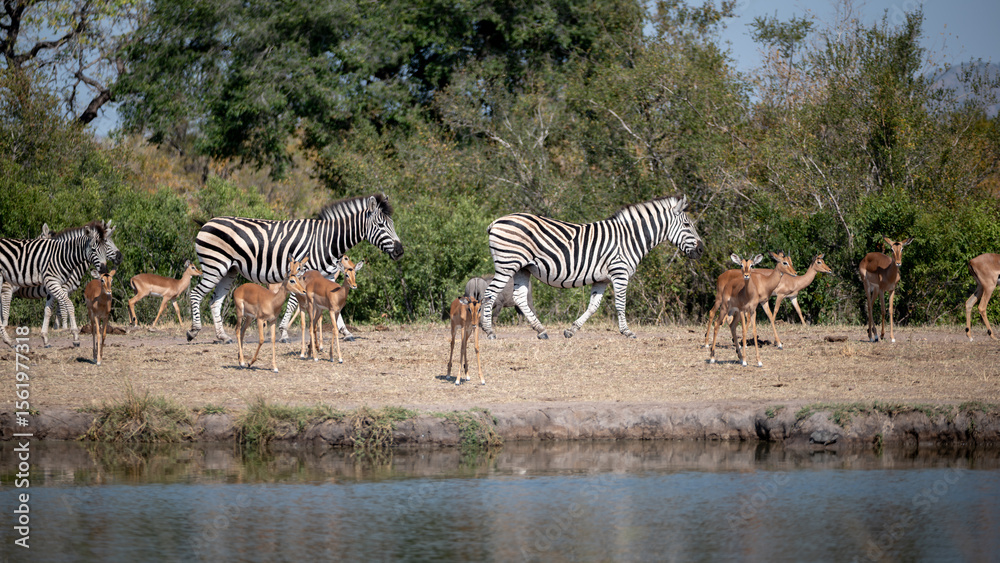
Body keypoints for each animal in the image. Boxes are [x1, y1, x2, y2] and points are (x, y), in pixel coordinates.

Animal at [187, 193, 404, 343]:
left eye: (392, 224)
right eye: (381, 225)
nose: (400, 251)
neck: (327, 241)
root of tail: (208, 221)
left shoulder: (329, 276)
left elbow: (334, 303)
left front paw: (346, 332)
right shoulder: (302, 272)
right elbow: (293, 303)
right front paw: (283, 333)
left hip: (229, 271)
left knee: (215, 301)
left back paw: (223, 337)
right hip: (214, 266)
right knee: (196, 294)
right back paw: (193, 331)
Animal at [481, 195, 705, 340]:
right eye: (687, 226)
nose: (702, 250)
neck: (629, 238)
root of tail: (496, 222)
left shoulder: (602, 279)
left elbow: (593, 306)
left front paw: (571, 330)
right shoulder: (619, 272)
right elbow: (620, 304)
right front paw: (627, 332)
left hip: (522, 268)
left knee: (519, 297)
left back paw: (541, 330)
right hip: (507, 265)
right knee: (489, 293)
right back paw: (489, 331)